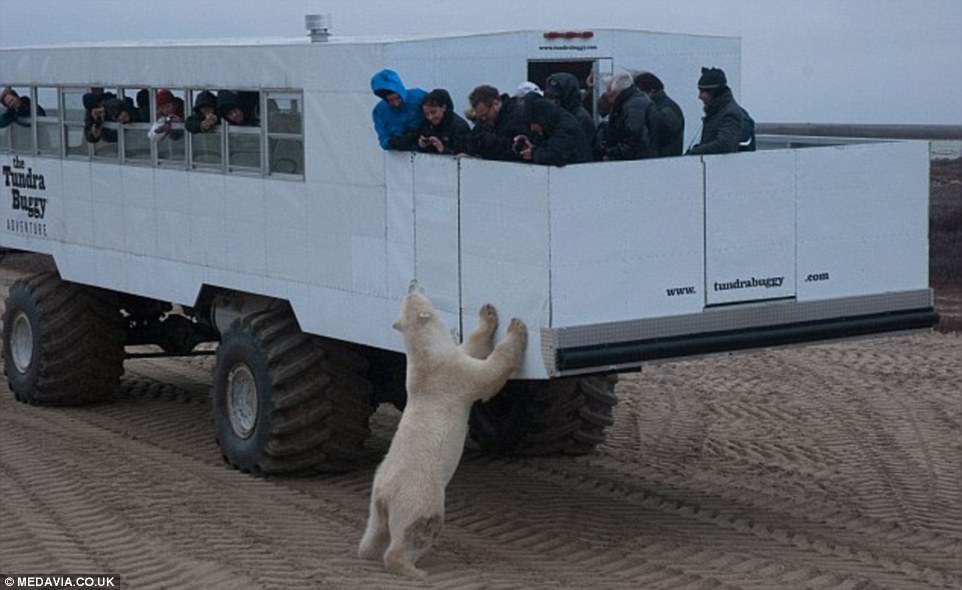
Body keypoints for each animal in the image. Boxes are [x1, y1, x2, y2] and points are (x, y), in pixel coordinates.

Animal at [358, 284, 528, 580]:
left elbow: (472, 346)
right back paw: (414, 569)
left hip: (375, 500)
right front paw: (516, 327)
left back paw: (367, 552)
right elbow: (488, 373)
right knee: (418, 529)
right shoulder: (453, 375)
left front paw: (488, 313)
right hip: (419, 497)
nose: (412, 284)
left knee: (374, 533)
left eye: (411, 294)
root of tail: (384, 496)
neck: (426, 359)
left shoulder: (450, 359)